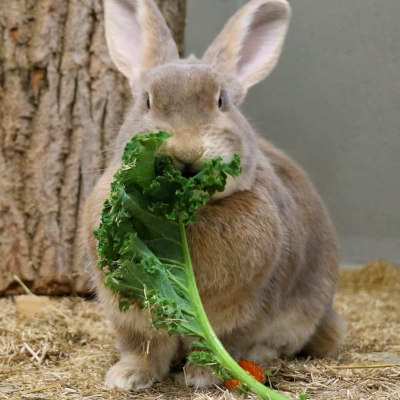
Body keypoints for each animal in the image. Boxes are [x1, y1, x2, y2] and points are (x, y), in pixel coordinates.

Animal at [83, 0, 346, 390]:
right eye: (147, 101)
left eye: (222, 101)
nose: (186, 152)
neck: (181, 213)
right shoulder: (130, 312)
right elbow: (146, 346)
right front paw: (127, 377)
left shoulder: (242, 314)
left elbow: (217, 342)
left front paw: (203, 376)